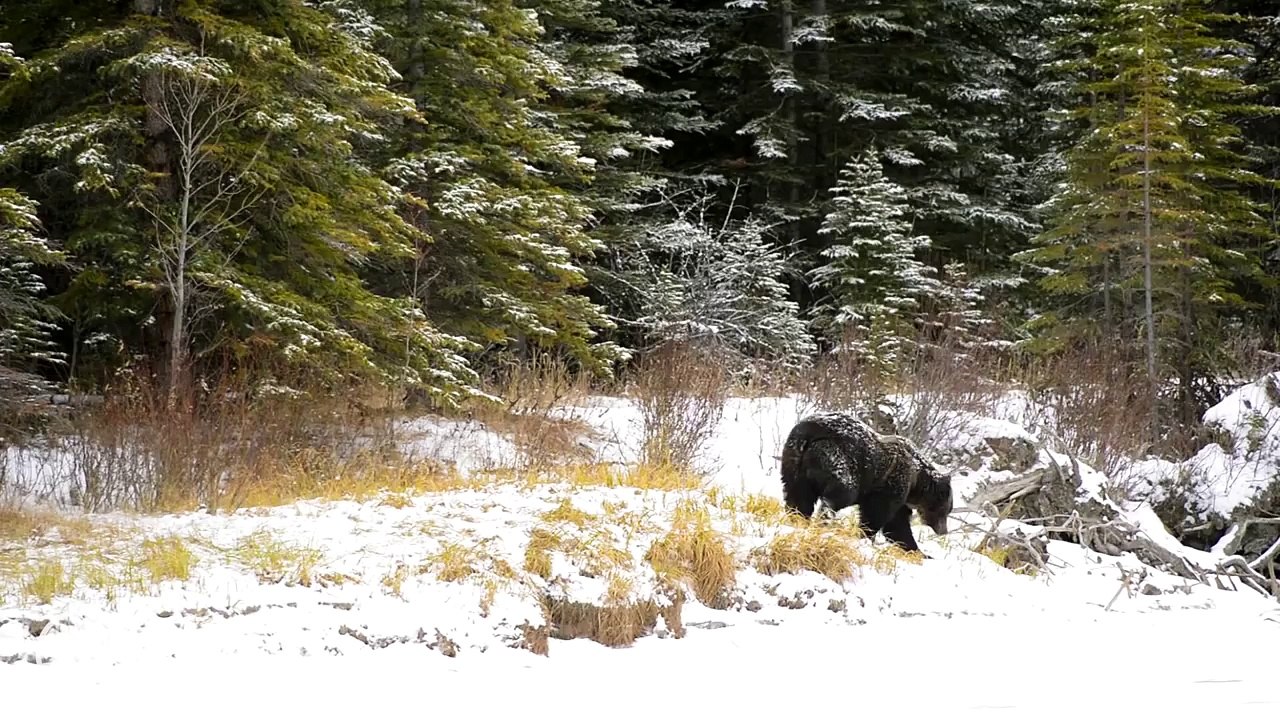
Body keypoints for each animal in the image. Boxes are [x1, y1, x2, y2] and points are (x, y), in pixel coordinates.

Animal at [779, 411, 953, 555]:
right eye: (945, 509)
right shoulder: (892, 483)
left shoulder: (900, 500)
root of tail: (809, 430)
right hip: (837, 457)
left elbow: (897, 527)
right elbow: (878, 515)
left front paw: (917, 550)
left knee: (798, 496)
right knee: (840, 493)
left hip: (793, 463)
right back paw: (824, 519)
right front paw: (866, 536)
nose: (944, 531)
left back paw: (798, 519)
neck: (916, 481)